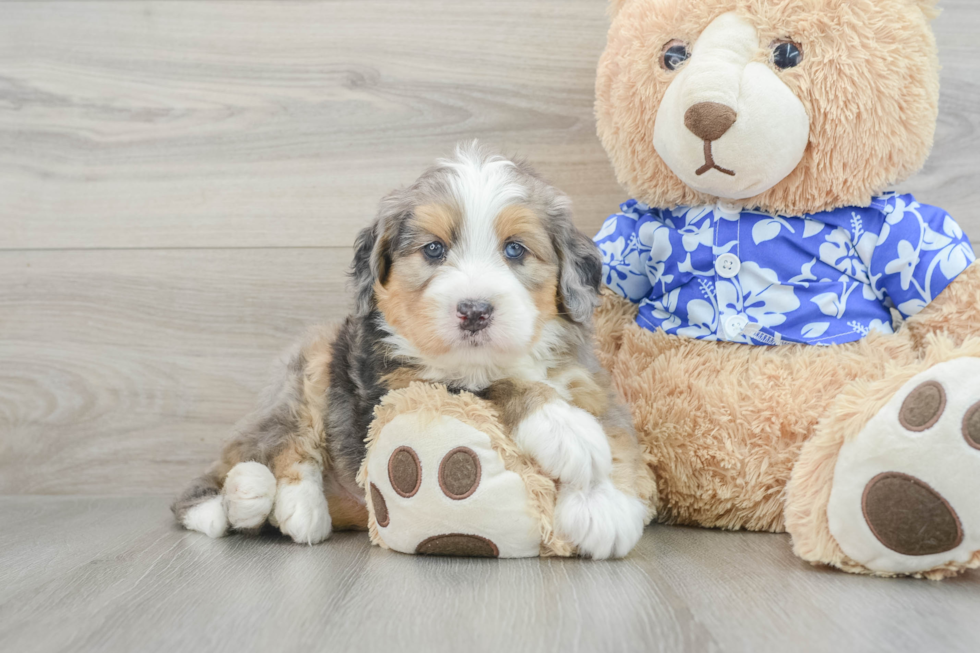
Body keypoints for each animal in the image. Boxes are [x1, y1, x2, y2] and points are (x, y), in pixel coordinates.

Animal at [174, 141, 652, 556]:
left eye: (515, 249)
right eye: (434, 249)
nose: (474, 311)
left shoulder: (587, 378)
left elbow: (613, 432)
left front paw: (603, 507)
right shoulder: (396, 388)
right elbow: (486, 388)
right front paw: (563, 428)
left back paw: (252, 500)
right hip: (311, 362)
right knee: (283, 443)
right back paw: (288, 506)